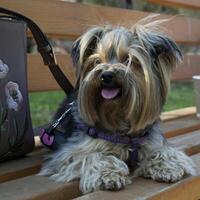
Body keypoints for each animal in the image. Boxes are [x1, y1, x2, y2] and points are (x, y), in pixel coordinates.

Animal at [39, 16, 196, 194]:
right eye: (97, 61)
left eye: (128, 60)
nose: (106, 75)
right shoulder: (69, 153)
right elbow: (94, 156)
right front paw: (108, 175)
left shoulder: (152, 141)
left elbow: (163, 152)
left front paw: (167, 167)